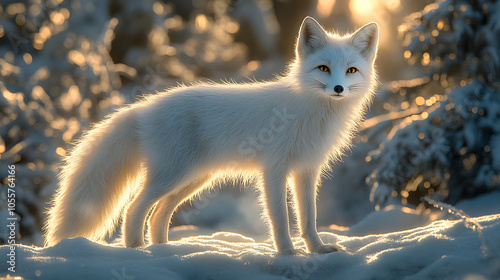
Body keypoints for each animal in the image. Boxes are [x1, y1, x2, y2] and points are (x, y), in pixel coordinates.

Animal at [44, 17, 378, 254]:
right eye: (323, 68)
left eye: (351, 71)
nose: (338, 89)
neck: (310, 113)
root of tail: (143, 107)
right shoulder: (273, 169)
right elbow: (280, 218)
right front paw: (287, 254)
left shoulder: (307, 171)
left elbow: (309, 218)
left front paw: (317, 250)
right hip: (172, 175)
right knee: (133, 209)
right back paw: (137, 250)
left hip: (194, 179)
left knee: (158, 215)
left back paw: (164, 251)